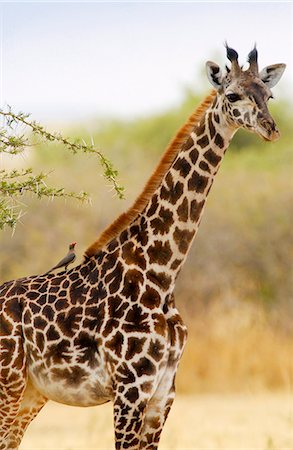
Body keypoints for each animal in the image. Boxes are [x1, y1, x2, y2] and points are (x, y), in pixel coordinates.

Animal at [0, 46, 282, 450]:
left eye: (268, 95)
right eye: (232, 96)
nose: (271, 128)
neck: (160, 272)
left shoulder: (164, 390)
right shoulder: (130, 388)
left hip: (31, 392)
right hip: (9, 383)